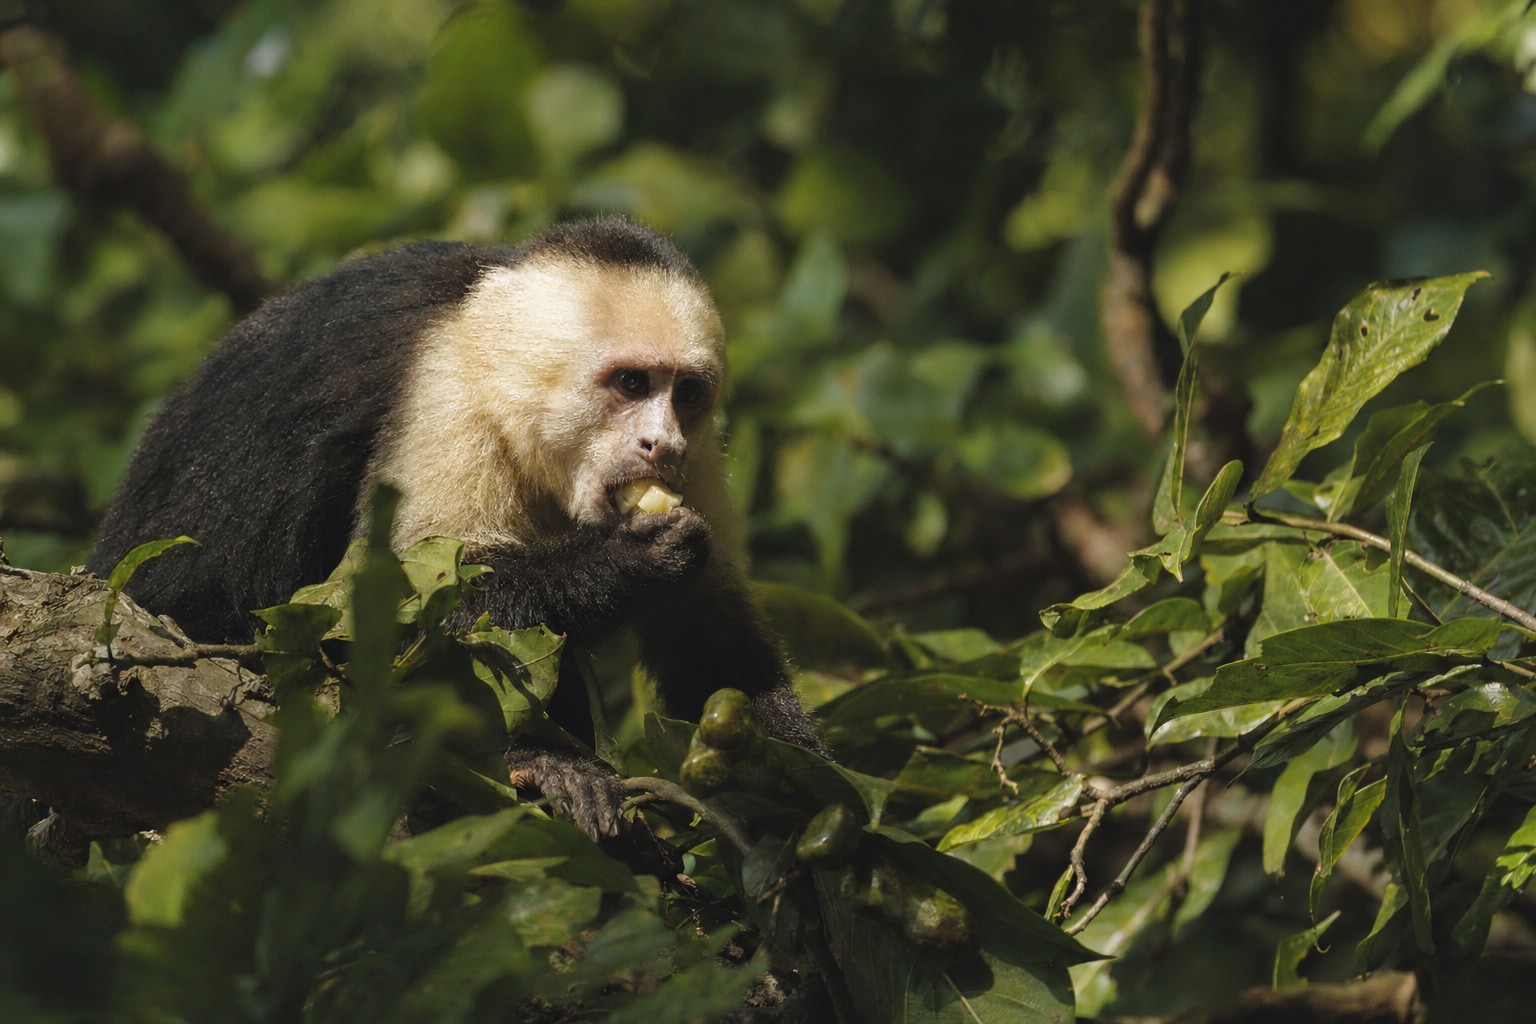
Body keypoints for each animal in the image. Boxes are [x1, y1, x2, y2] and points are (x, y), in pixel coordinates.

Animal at [87, 216, 820, 838]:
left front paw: (799, 787)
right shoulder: (446, 397)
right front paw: (628, 562)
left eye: (686, 393)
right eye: (632, 383)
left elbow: (709, 626)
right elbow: (387, 610)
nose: (661, 444)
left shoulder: (701, 460)